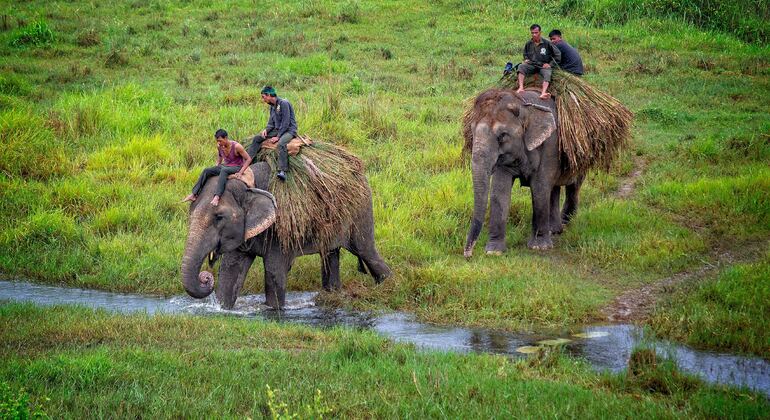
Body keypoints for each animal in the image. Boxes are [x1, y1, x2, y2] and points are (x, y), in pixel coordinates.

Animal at [180, 161, 390, 308]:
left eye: (219, 217)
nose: (205, 277)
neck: (248, 184)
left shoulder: (280, 225)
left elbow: (274, 270)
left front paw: (274, 310)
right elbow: (230, 270)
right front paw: (223, 309)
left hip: (360, 210)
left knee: (366, 251)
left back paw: (388, 286)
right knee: (330, 255)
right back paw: (332, 295)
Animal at [462, 88, 584, 256]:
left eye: (502, 136)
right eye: (472, 132)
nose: (468, 254)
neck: (523, 104)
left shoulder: (550, 144)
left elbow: (539, 188)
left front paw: (539, 247)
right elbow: (499, 191)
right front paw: (494, 251)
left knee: (573, 184)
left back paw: (565, 222)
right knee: (554, 188)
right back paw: (554, 230)